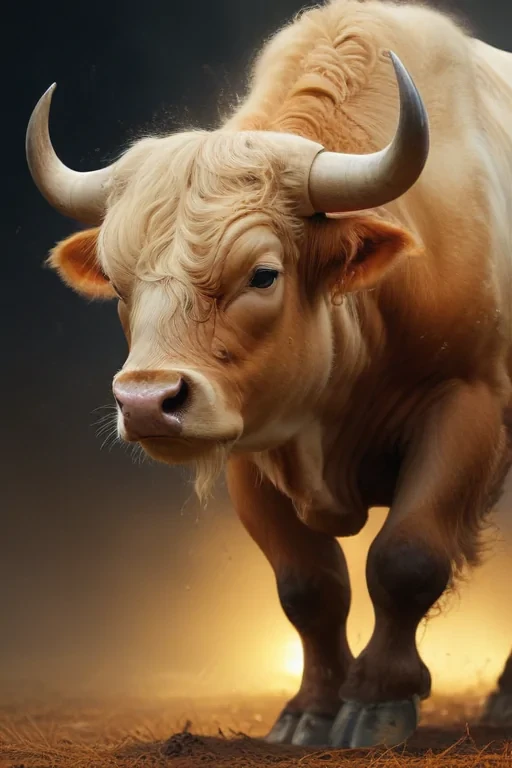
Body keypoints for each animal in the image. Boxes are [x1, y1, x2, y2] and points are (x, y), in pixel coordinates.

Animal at [26, 0, 512, 749]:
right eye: (116, 279)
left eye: (262, 274)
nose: (146, 402)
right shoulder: (249, 448)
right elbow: (308, 586)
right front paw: (310, 709)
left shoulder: (467, 406)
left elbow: (405, 557)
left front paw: (377, 700)